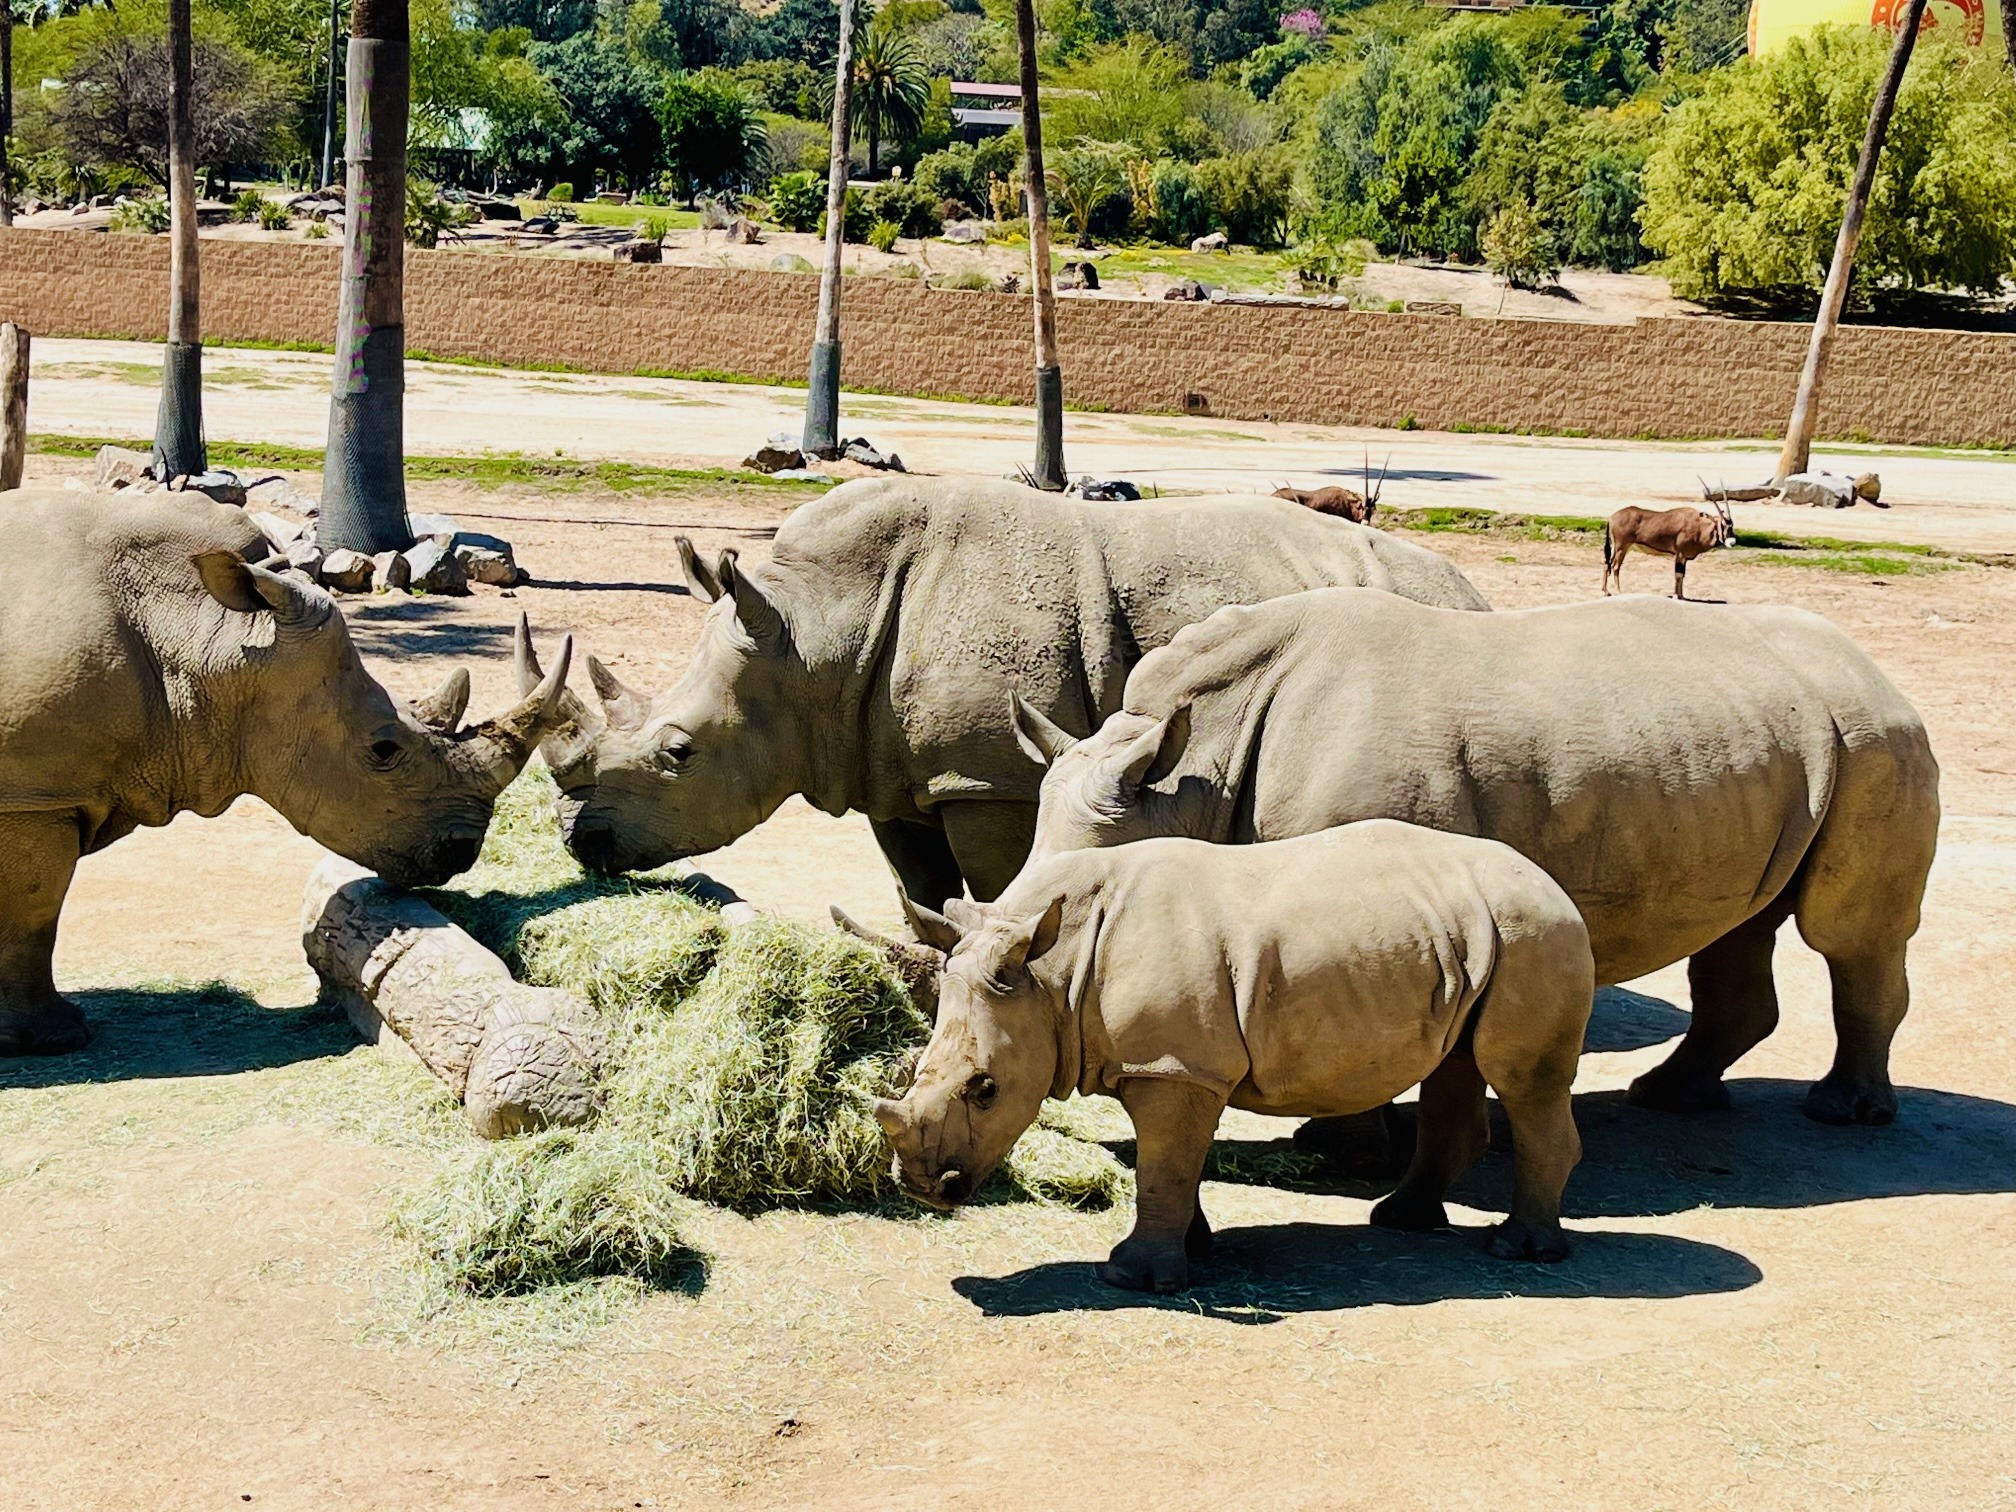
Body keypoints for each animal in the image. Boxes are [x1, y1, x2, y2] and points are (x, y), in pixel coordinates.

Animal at [0, 491, 573, 1056]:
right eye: (384, 749)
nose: (463, 850)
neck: (206, 633)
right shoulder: (36, 798)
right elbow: (33, 916)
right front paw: (56, 1038)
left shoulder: (42, 793)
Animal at [525, 476, 1488, 907]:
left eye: (678, 753)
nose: (583, 844)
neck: (813, 637)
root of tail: (1472, 593)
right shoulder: (894, 773)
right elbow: (920, 893)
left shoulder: (990, 779)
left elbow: (992, 892)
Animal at [873, 821, 1595, 1294]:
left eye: (986, 1089)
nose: (920, 1188)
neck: (1053, 976)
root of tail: (1556, 886)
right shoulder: (1171, 1066)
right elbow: (1171, 1164)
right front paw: (1194, 1248)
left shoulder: (1173, 1068)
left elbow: (1162, 1165)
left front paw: (1133, 1278)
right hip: (1478, 936)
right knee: (1458, 1063)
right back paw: (1400, 1220)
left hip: (1535, 931)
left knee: (1521, 1080)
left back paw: (1519, 1252)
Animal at [1010, 589, 1940, 1129]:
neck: (1192, 773)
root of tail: (1877, 667)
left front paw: (1351, 1152)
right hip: (1774, 743)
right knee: (1741, 924)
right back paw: (1670, 1098)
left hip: (1876, 739)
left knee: (1846, 936)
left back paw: (1845, 1113)